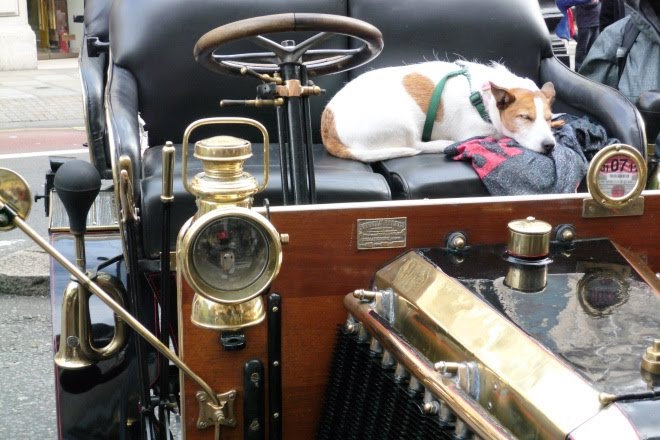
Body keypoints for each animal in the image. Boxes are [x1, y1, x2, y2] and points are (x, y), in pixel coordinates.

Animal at [320, 59, 556, 161]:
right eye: (525, 117)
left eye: (548, 118)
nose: (550, 146)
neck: (482, 96)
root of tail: (328, 125)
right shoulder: (474, 131)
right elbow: (497, 134)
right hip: (403, 123)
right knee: (416, 145)